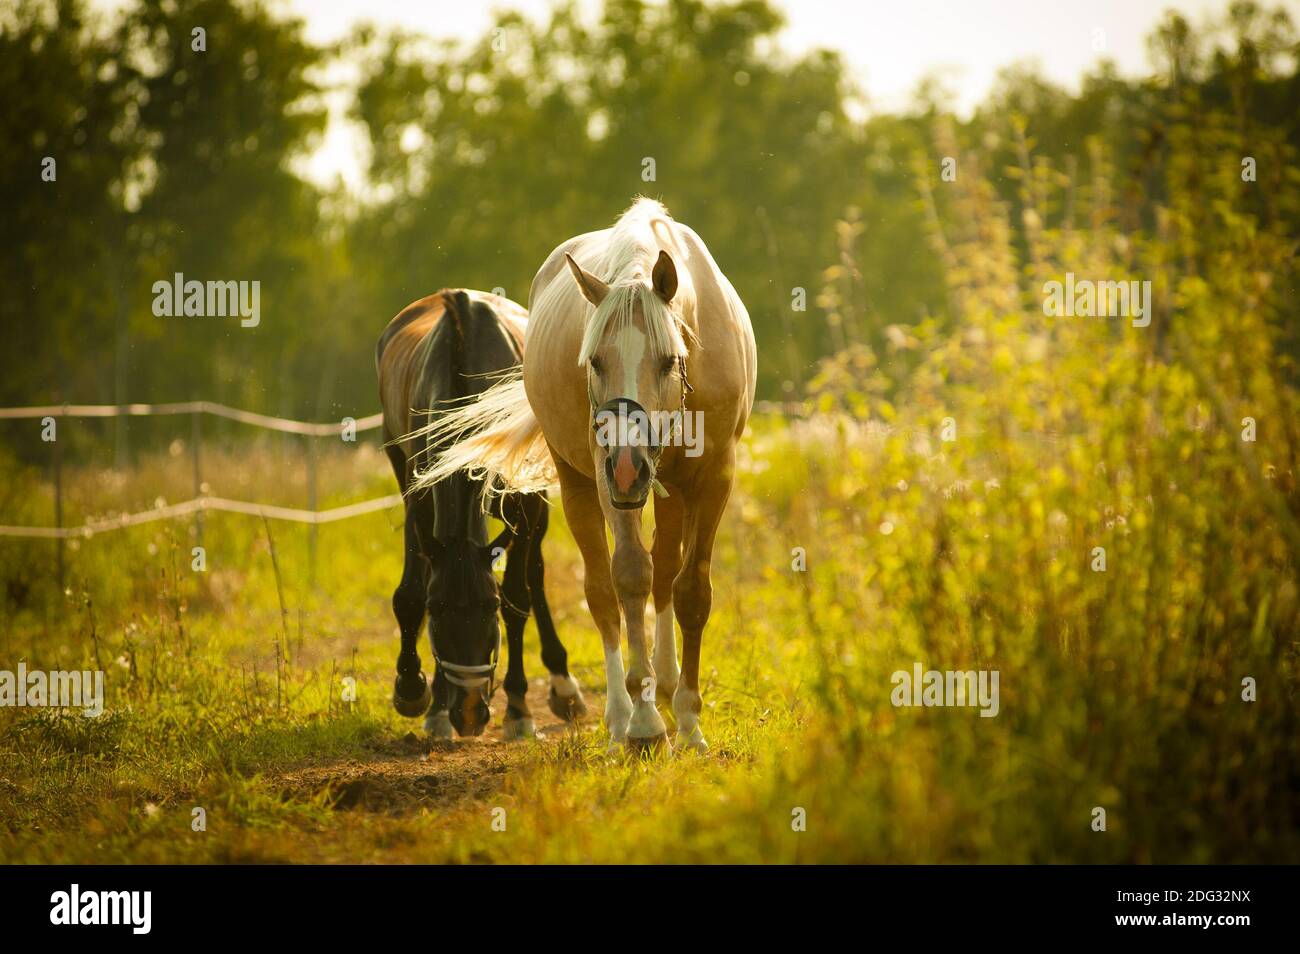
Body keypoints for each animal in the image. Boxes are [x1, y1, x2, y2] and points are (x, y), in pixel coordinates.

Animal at [376, 288, 587, 739]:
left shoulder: (525, 500)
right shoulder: (418, 493)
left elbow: (518, 597)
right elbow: (410, 592)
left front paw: (519, 709)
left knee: (535, 574)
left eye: (488, 606)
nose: (471, 711)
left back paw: (563, 686)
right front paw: (417, 692)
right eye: (438, 609)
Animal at [414, 200, 756, 753]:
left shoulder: (713, 477)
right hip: (583, 484)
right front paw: (645, 725)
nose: (627, 463)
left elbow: (690, 591)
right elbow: (630, 578)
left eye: (670, 360)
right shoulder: (609, 482)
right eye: (594, 361)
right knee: (603, 591)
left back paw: (664, 687)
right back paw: (622, 716)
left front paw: (688, 721)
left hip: (664, 487)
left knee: (666, 571)